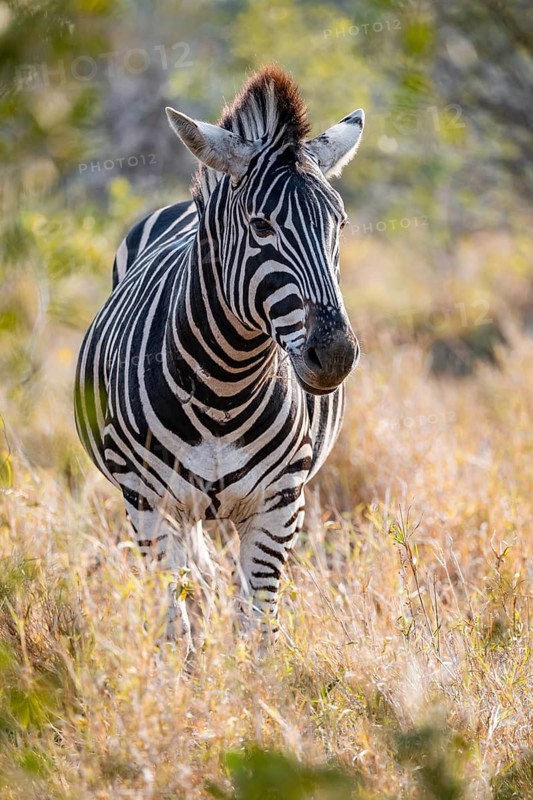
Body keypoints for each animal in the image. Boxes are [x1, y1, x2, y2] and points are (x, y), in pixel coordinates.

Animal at [75, 66, 364, 651]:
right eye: (261, 227)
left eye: (339, 226)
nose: (336, 355)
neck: (225, 386)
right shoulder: (149, 504)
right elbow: (175, 627)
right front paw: (184, 676)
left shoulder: (280, 505)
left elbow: (257, 629)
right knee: (196, 583)